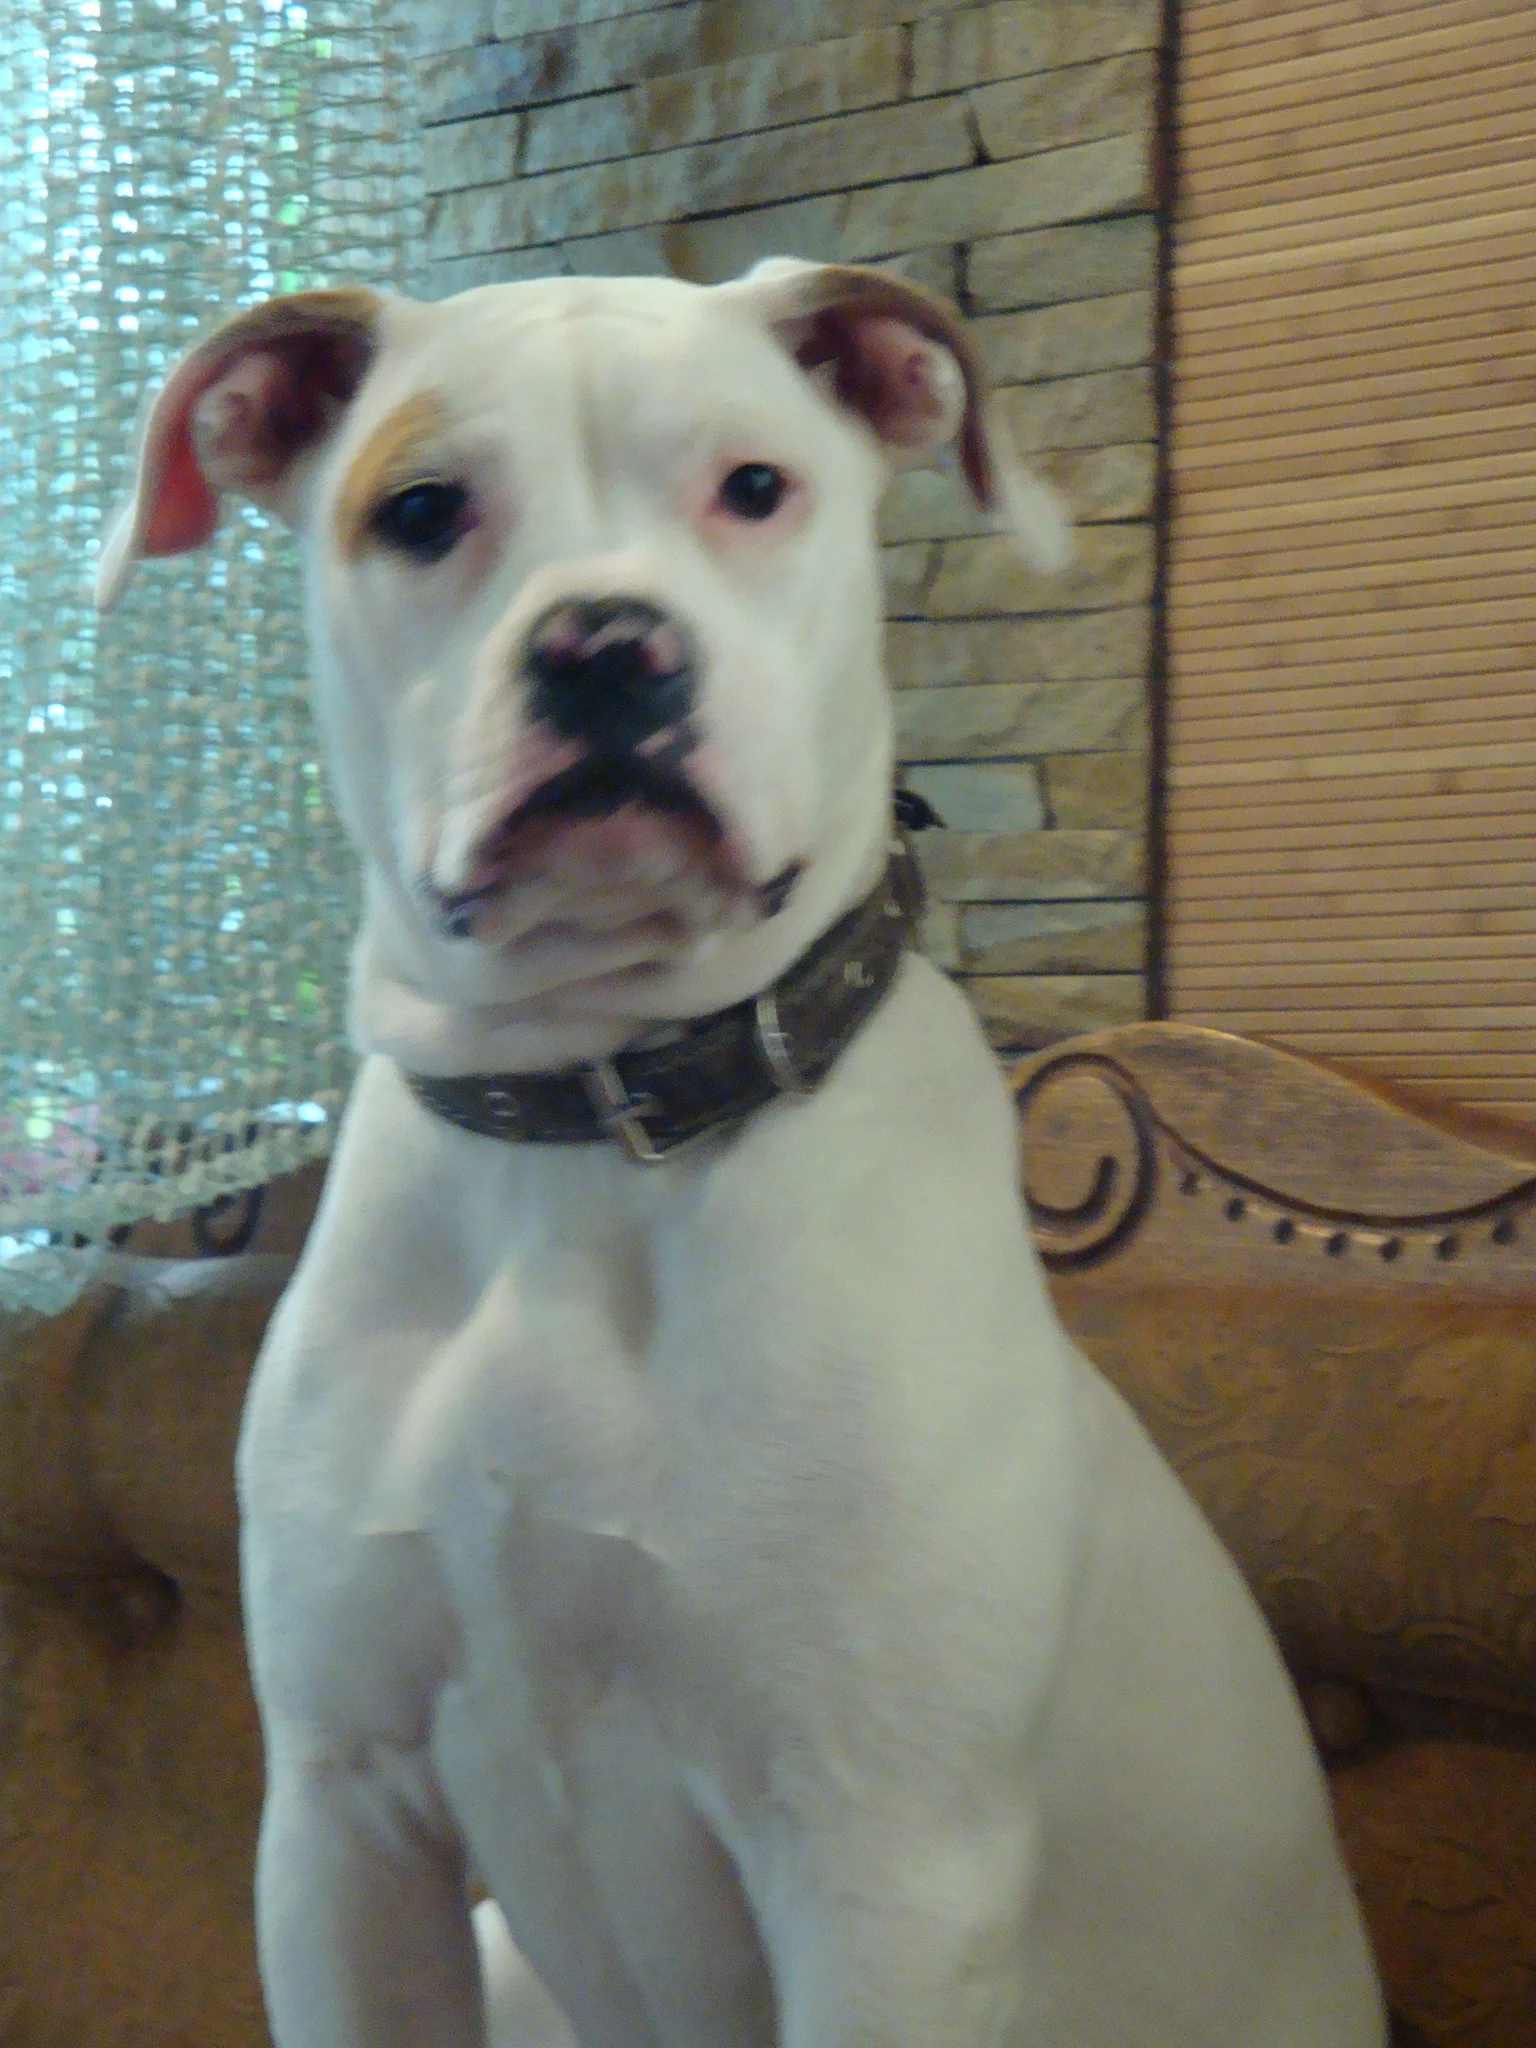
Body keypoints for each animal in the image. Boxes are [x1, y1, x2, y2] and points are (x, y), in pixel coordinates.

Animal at [97, 260, 1387, 2048]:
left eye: (756, 486)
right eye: (422, 510)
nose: (607, 647)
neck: (589, 1119)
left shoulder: (879, 1871)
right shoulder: (346, 1824)